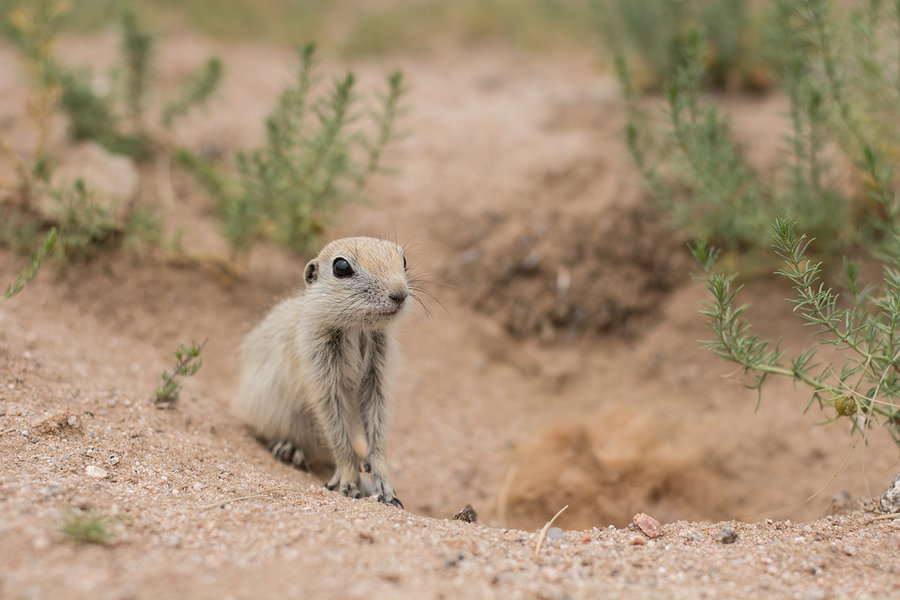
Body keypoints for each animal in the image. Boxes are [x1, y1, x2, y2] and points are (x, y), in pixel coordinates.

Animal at [234, 237, 414, 508]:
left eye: (403, 260)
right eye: (341, 267)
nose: (400, 294)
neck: (357, 328)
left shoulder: (377, 379)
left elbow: (377, 429)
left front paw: (385, 487)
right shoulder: (322, 379)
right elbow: (338, 434)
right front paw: (350, 482)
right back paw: (290, 449)